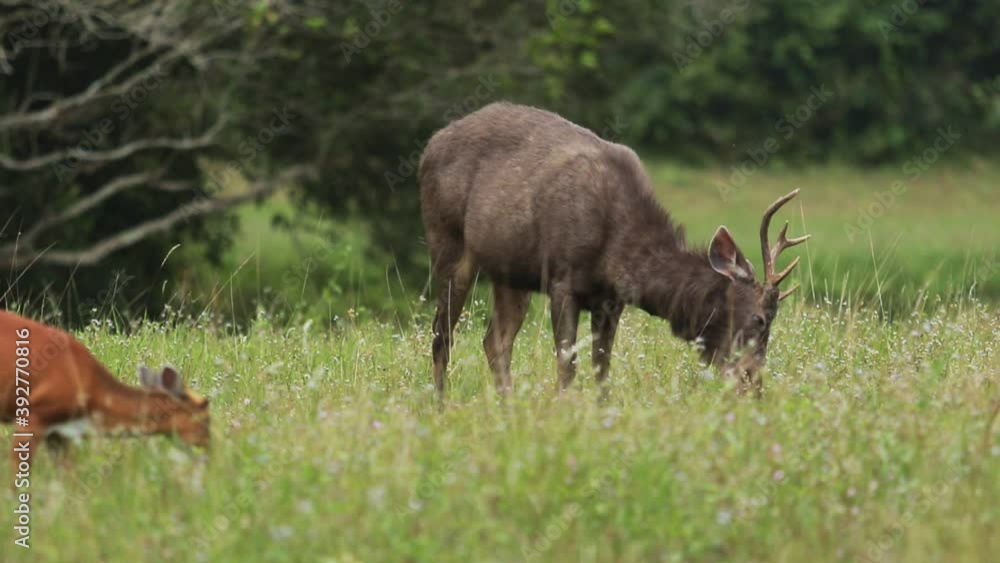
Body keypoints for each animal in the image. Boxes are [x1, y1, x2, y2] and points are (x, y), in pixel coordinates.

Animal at [419, 102, 809, 400]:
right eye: (759, 319)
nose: (754, 385)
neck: (616, 250)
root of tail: (429, 145)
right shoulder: (562, 279)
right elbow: (567, 363)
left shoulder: (611, 299)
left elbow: (602, 367)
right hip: (447, 240)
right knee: (442, 335)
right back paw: (440, 405)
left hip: (510, 273)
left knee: (494, 342)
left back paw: (507, 407)